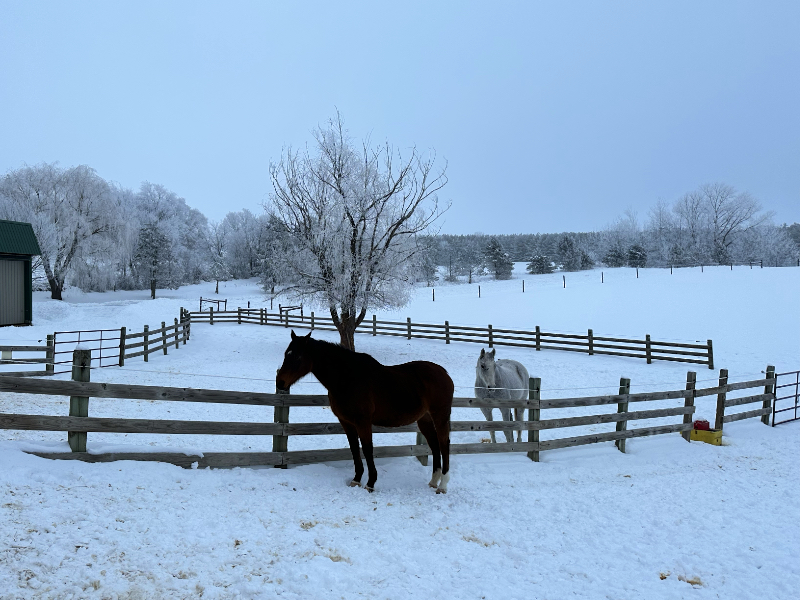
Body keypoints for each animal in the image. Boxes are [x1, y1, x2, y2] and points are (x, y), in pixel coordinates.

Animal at [276, 331, 455, 493]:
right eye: (286, 354)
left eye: (298, 357)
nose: (280, 382)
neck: (348, 378)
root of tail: (444, 373)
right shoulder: (346, 422)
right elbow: (354, 448)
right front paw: (356, 480)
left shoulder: (363, 421)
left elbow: (367, 449)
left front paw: (370, 483)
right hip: (424, 419)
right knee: (434, 445)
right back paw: (433, 482)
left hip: (440, 416)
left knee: (444, 444)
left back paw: (443, 485)